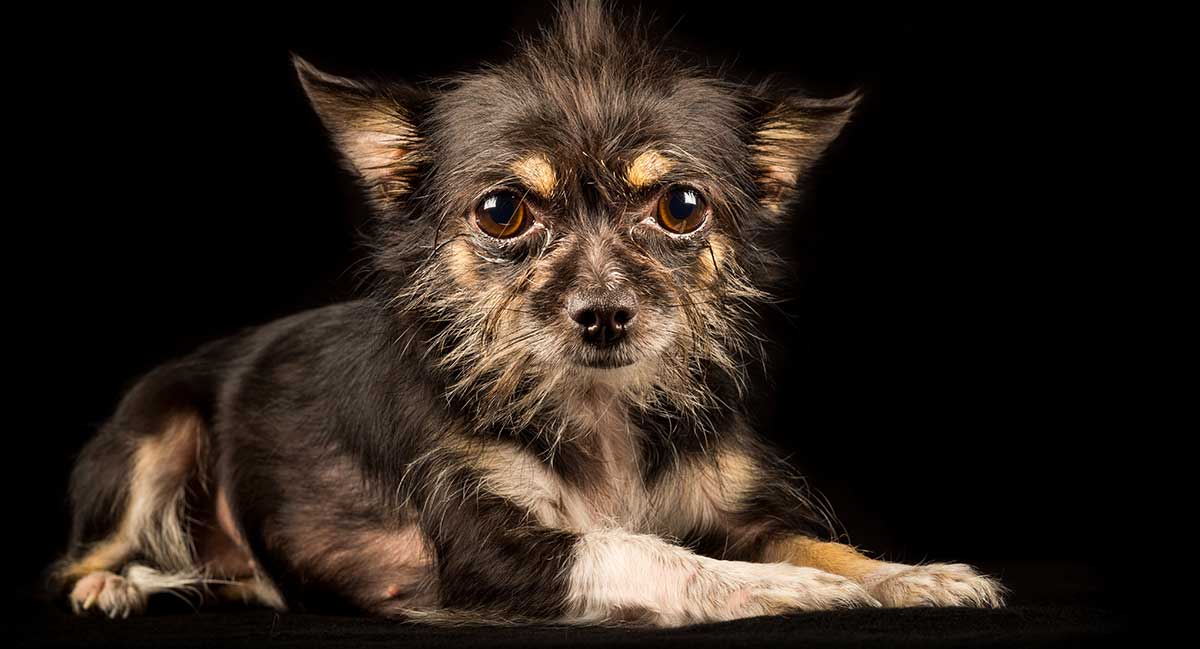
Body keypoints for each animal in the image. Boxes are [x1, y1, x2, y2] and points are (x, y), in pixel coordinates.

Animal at [54, 1, 1003, 628]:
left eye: (682, 206)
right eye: (503, 211)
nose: (604, 314)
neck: (599, 413)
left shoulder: (740, 513)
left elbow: (814, 541)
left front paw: (909, 574)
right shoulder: (492, 552)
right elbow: (651, 552)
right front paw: (790, 592)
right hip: (156, 431)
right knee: (79, 556)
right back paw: (113, 585)